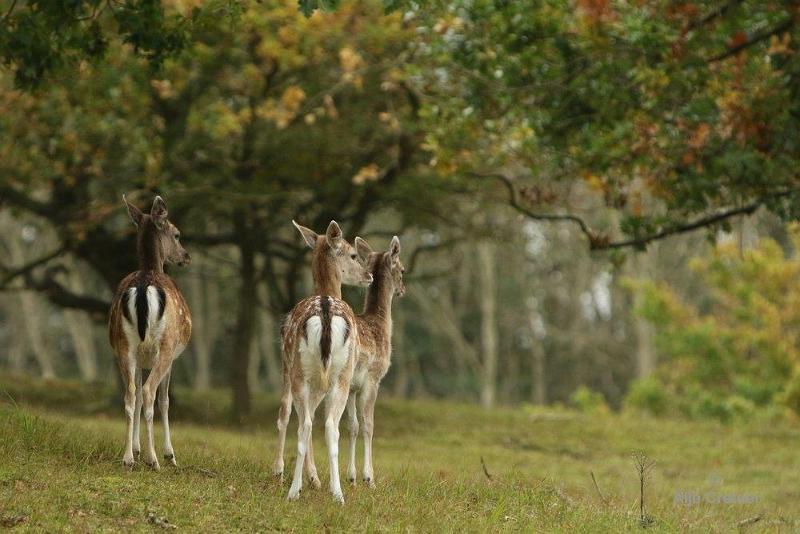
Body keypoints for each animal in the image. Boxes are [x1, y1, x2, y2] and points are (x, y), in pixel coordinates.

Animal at [108, 196, 192, 468]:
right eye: (177, 234)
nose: (186, 256)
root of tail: (144, 286)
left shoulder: (138, 356)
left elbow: (134, 393)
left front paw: (135, 449)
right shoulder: (172, 355)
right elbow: (165, 401)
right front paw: (170, 455)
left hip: (124, 345)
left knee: (130, 394)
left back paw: (127, 459)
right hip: (164, 345)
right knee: (148, 392)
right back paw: (154, 459)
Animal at [274, 220, 374, 504]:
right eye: (354, 254)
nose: (369, 276)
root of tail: (327, 310)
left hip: (304, 372)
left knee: (305, 422)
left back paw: (297, 488)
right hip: (336, 375)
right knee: (325, 425)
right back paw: (332, 492)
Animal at [304, 239, 410, 490]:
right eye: (402, 270)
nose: (403, 289)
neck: (380, 326)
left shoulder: (352, 387)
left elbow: (352, 426)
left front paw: (351, 477)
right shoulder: (373, 379)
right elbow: (368, 425)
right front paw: (369, 478)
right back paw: (313, 478)